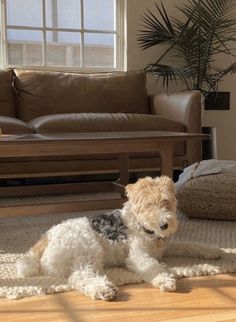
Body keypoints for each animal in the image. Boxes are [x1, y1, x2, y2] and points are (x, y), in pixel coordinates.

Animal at [16, 176, 221, 300]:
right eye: (148, 204)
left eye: (166, 201)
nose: (164, 225)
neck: (144, 227)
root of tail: (45, 239)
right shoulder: (137, 256)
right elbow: (154, 267)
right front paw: (165, 280)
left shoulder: (168, 246)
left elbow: (191, 245)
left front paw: (214, 251)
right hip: (89, 250)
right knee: (80, 277)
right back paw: (104, 290)